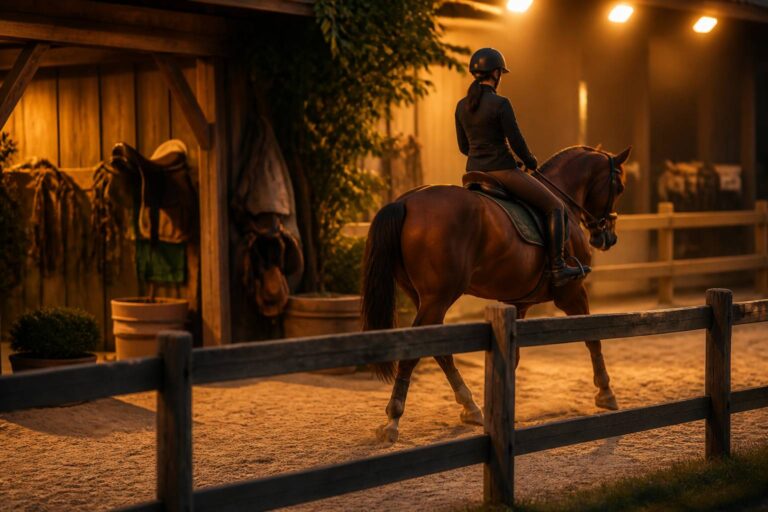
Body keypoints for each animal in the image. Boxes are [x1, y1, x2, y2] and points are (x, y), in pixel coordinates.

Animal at [361, 145, 631, 443]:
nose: (607, 238)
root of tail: (406, 201)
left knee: (441, 352)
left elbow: (513, 358)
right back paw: (393, 420)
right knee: (416, 352)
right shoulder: (572, 292)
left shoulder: (519, 302)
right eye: (619, 186)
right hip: (437, 298)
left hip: (423, 298)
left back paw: (470, 407)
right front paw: (606, 393)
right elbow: (593, 338)